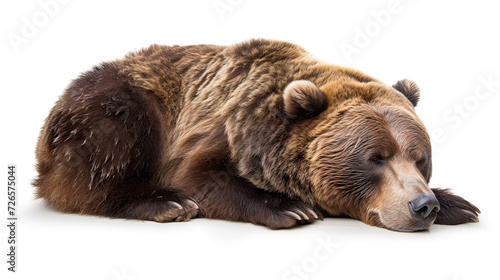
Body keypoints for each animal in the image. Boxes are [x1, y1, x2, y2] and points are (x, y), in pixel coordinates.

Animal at [33, 39, 478, 232]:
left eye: (420, 158)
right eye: (376, 157)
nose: (423, 206)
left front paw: (460, 204)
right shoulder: (221, 125)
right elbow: (198, 177)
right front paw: (291, 208)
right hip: (117, 106)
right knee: (106, 155)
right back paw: (165, 204)